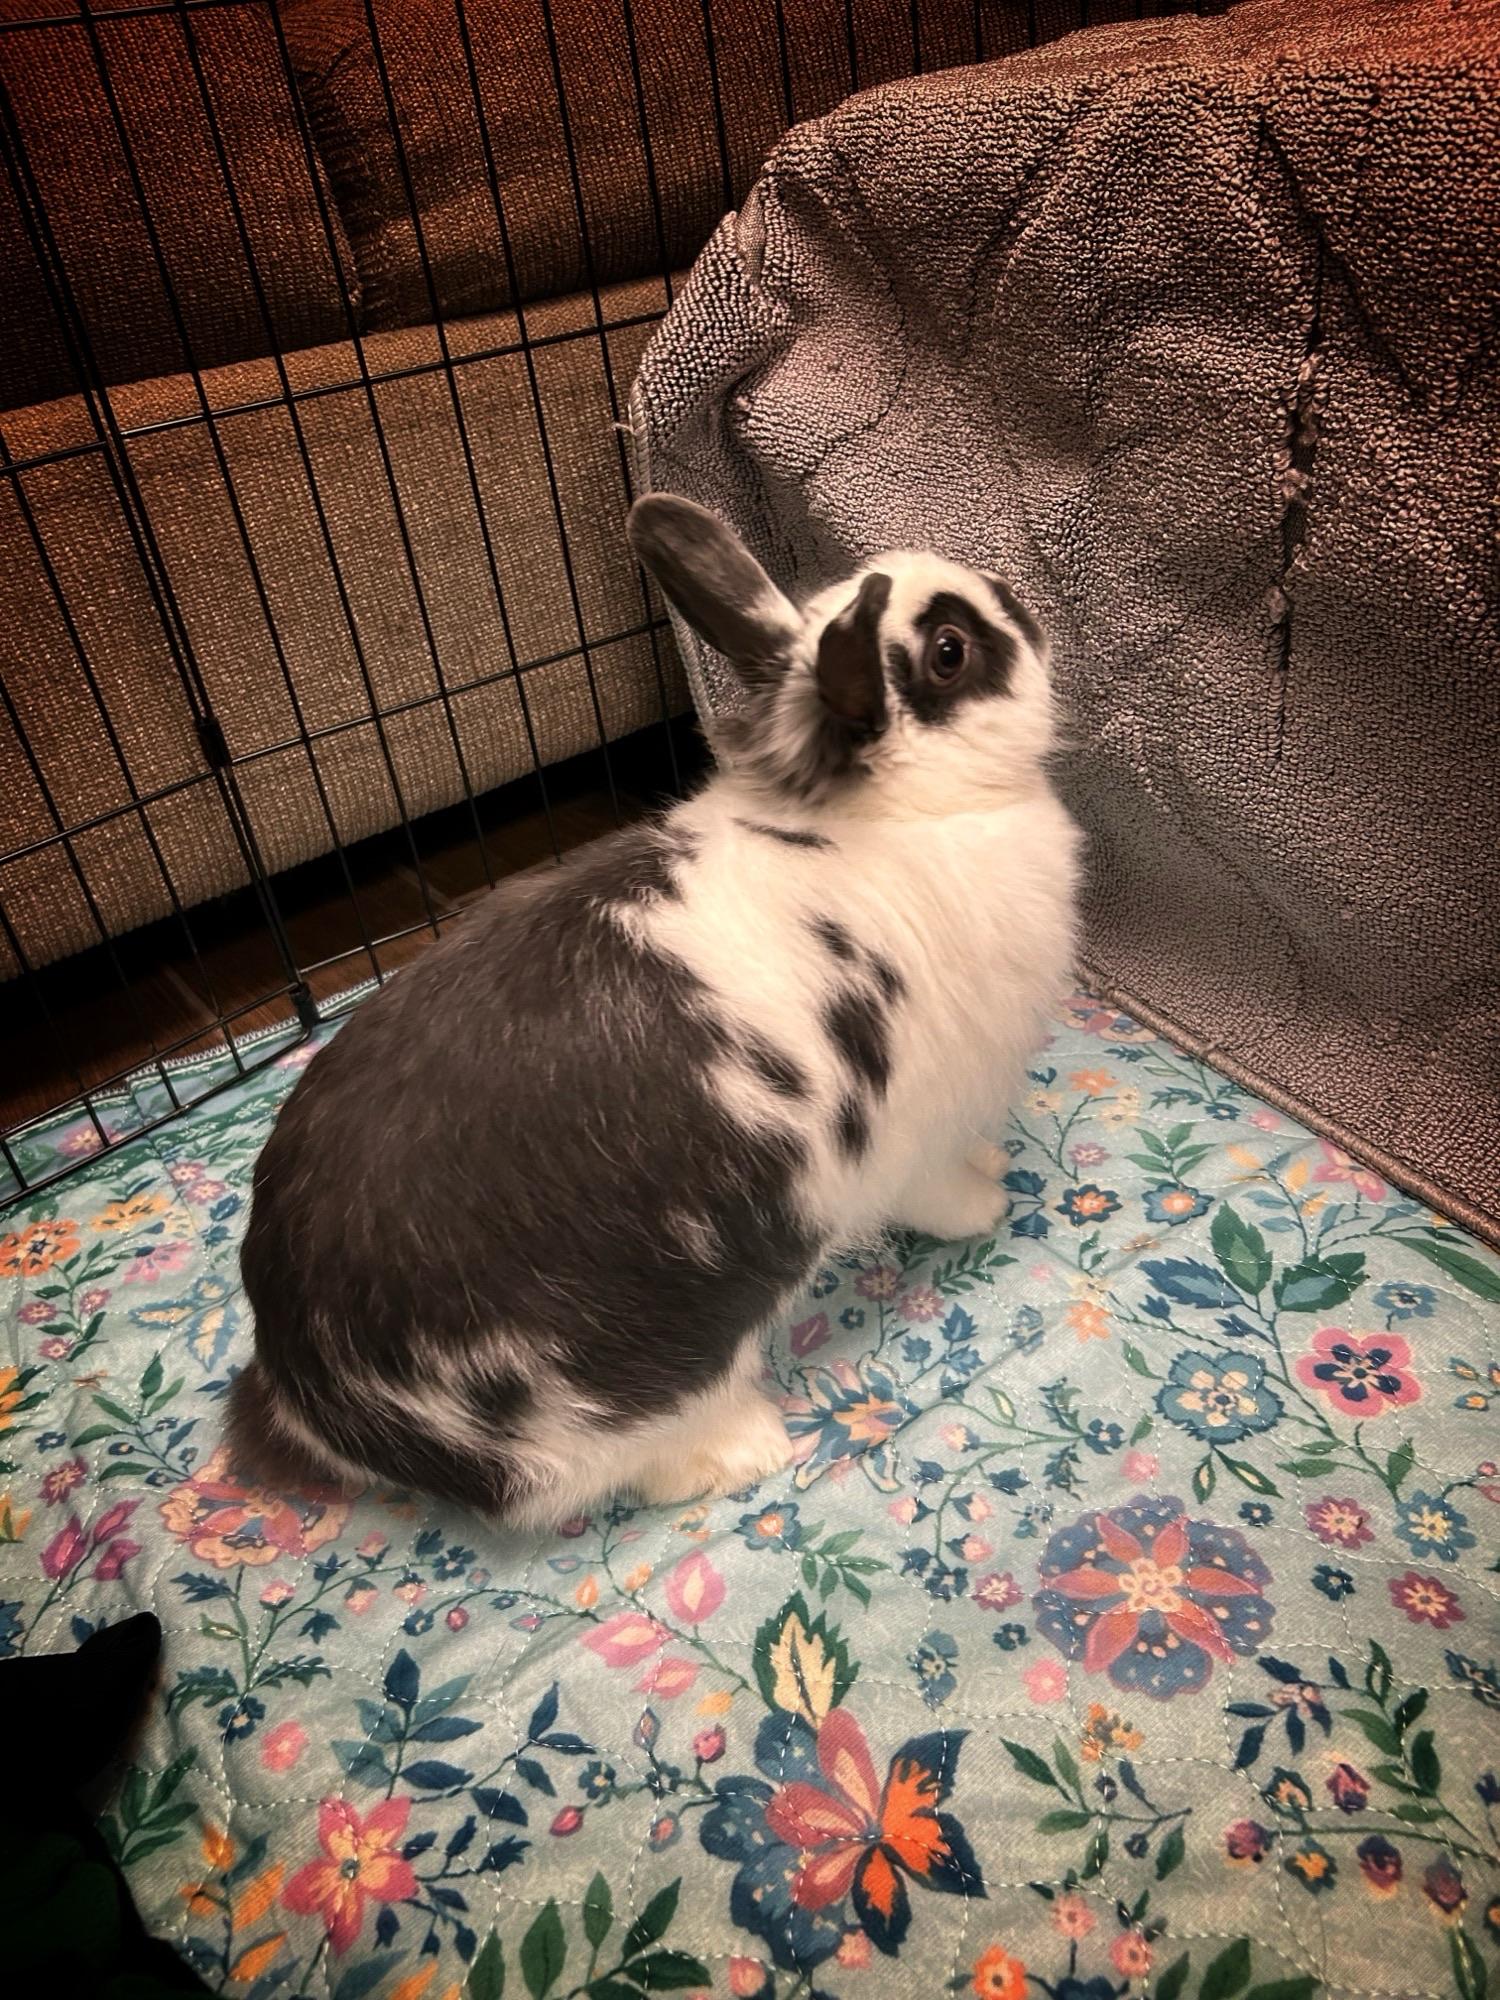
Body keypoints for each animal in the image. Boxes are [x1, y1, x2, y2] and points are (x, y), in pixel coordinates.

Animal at [227, 494, 1082, 1528]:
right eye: (949, 651)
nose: (1014, 594)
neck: (895, 814)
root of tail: (320, 1408)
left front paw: (992, 1163)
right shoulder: (908, 1136)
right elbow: (937, 1193)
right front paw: (987, 1204)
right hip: (636, 1378)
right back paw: (745, 1452)